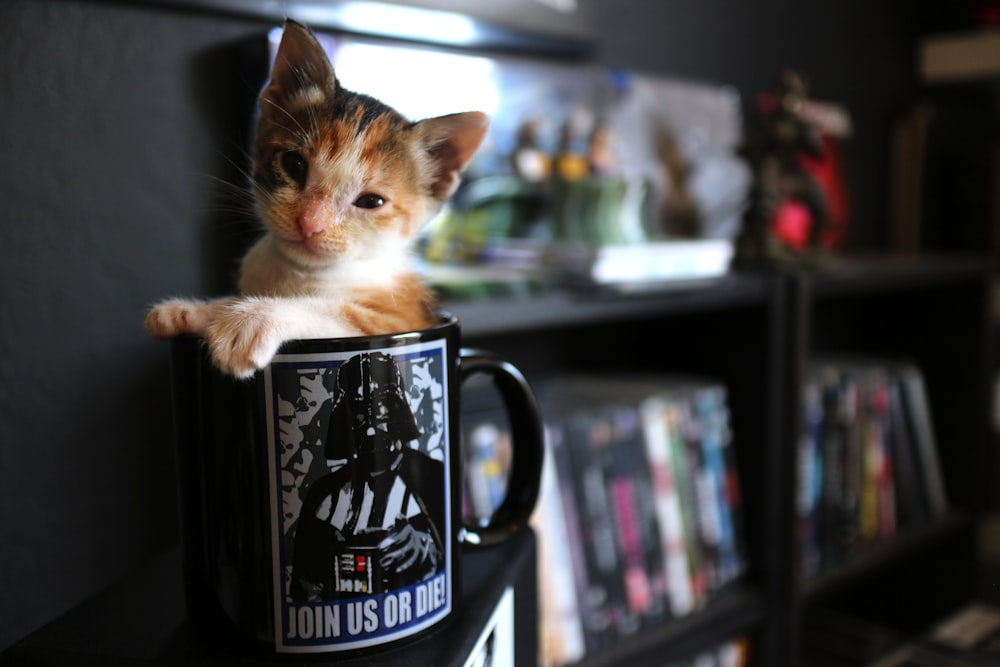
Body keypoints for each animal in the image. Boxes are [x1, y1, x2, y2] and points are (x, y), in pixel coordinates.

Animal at [146, 20, 490, 378]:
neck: (301, 272)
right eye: (295, 165)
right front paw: (197, 310)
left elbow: (332, 311)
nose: (309, 223)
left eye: (371, 202)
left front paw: (252, 318)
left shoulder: (401, 317)